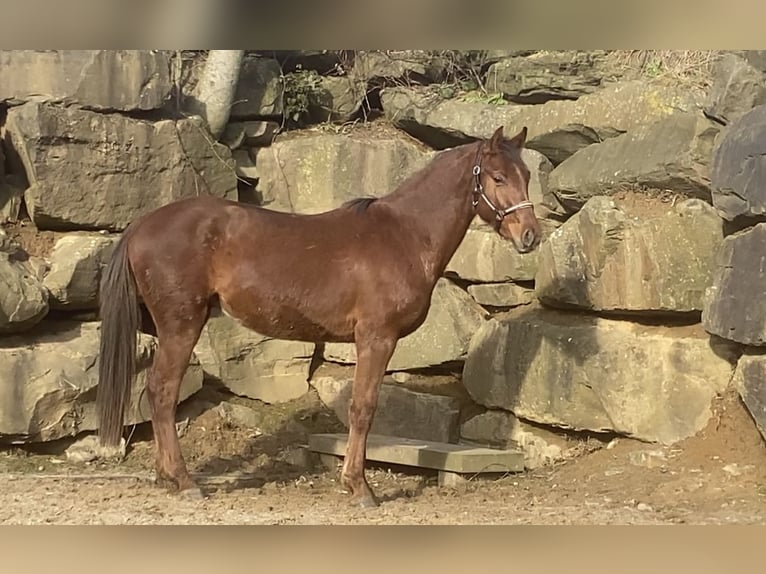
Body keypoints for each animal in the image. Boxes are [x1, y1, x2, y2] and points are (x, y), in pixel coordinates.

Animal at [97, 125, 540, 508]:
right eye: (498, 177)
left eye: (527, 175)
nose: (530, 236)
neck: (404, 235)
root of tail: (142, 225)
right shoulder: (376, 338)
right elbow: (363, 408)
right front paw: (359, 488)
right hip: (181, 325)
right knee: (162, 392)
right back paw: (184, 480)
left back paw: (166, 477)